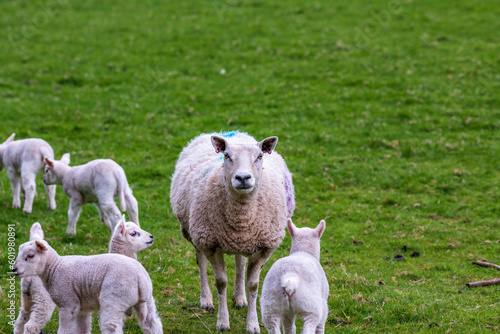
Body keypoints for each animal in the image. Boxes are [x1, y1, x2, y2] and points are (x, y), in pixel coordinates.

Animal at [12, 223, 162, 334]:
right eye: (133, 233)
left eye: (30, 255)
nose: (14, 269)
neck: (55, 267)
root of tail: (140, 278)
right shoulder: (73, 305)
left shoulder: (73, 305)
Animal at [170, 131, 294, 334]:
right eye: (227, 156)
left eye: (259, 156)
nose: (243, 178)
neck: (242, 217)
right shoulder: (211, 244)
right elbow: (221, 282)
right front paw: (222, 322)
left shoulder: (264, 247)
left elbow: (253, 285)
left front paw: (252, 324)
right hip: (194, 231)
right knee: (201, 261)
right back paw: (206, 300)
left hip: (242, 242)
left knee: (240, 262)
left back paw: (240, 298)